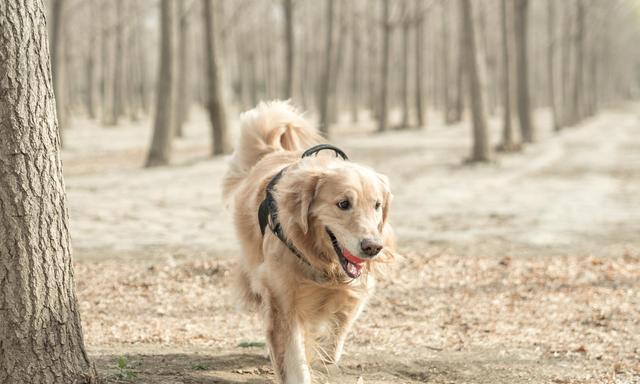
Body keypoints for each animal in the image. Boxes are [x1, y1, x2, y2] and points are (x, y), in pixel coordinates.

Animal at [224, 100, 396, 382]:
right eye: (343, 204)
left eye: (377, 205)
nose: (373, 247)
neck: (322, 261)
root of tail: (274, 152)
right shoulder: (283, 300)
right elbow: (294, 356)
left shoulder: (357, 289)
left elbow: (336, 336)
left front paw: (325, 355)